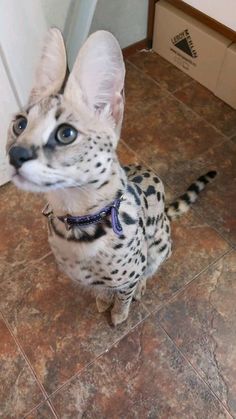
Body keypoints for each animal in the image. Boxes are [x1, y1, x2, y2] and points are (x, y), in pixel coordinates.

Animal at [6, 29, 217, 326]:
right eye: (20, 124)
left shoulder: (133, 267)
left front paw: (118, 313)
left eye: (66, 134)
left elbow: (125, 292)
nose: (15, 154)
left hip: (161, 243)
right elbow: (102, 288)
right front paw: (103, 299)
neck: (77, 223)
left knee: (151, 268)